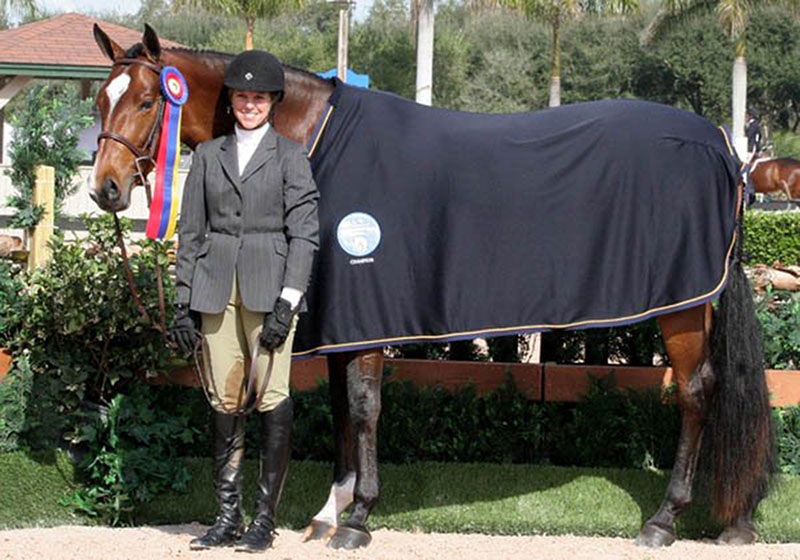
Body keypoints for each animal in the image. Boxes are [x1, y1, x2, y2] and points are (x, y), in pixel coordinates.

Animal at [89, 24, 775, 549]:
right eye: (99, 101)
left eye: (148, 102)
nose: (106, 189)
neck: (314, 136)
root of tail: (722, 146)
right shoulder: (337, 317)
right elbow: (339, 408)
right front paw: (331, 511)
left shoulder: (366, 311)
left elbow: (363, 407)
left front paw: (358, 518)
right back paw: (732, 518)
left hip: (681, 308)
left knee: (696, 392)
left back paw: (664, 520)